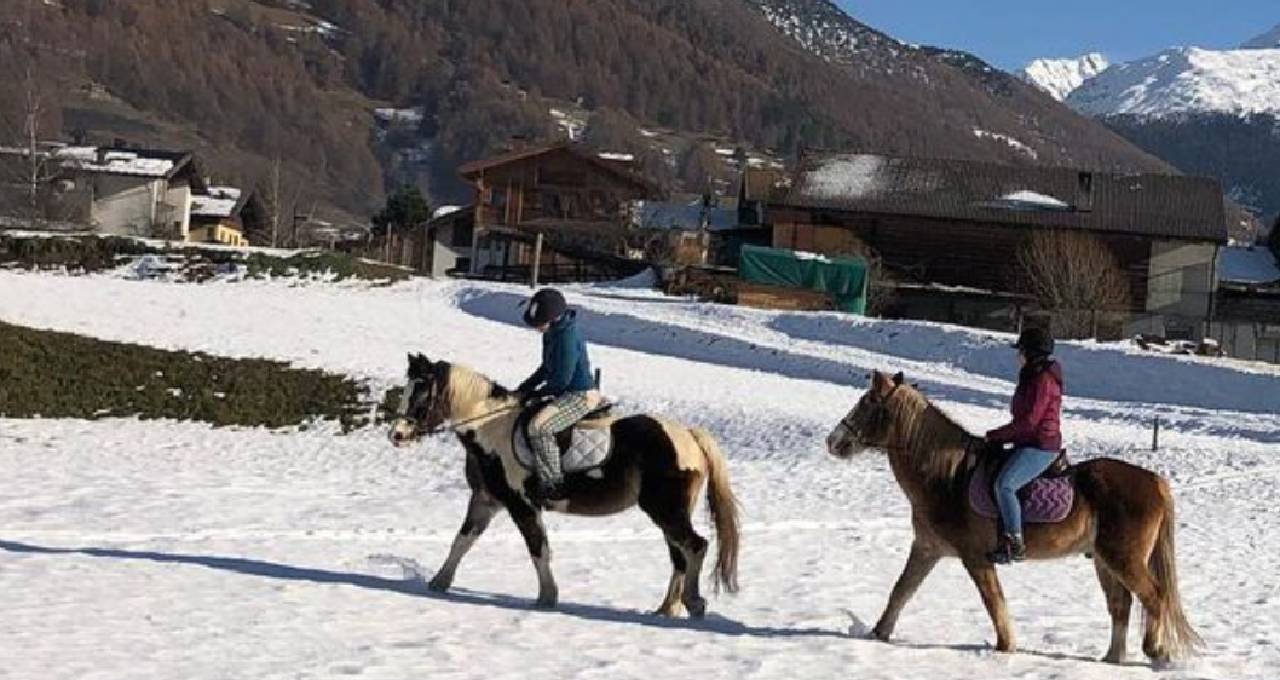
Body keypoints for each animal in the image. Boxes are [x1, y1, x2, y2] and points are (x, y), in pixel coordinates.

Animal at [384, 356, 742, 617]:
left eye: (421, 395)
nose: (396, 435)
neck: (491, 429)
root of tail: (688, 435)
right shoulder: (486, 500)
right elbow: (461, 541)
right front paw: (438, 582)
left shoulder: (521, 504)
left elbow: (538, 548)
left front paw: (547, 597)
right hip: (668, 511)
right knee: (679, 555)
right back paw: (667, 608)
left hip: (664, 508)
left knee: (695, 546)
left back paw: (693, 603)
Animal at [829, 371, 1198, 665]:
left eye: (867, 403)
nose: (833, 441)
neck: (948, 477)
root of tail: (1155, 481)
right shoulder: (927, 548)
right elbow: (901, 590)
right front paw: (878, 634)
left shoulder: (975, 557)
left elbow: (993, 601)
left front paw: (1006, 647)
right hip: (1104, 561)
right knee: (1121, 605)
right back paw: (1112, 658)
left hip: (1124, 559)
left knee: (1154, 597)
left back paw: (1156, 652)